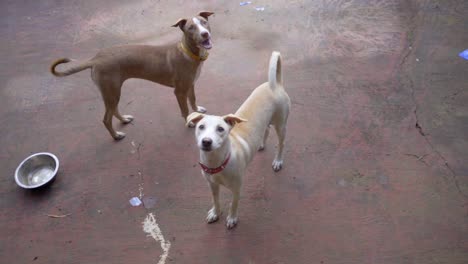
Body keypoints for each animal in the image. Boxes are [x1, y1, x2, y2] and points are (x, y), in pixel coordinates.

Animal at [50, 11, 215, 140]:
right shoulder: (179, 91)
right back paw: (116, 135)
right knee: (106, 119)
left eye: (204, 22)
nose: (205, 34)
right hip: (112, 91)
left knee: (113, 110)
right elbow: (185, 111)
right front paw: (189, 122)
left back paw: (124, 120)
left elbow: (193, 100)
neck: (188, 53)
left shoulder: (191, 84)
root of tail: (95, 58)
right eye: (191, 28)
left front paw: (197, 110)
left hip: (112, 92)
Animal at [186, 52, 288, 229]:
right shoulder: (212, 185)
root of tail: (276, 84)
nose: (206, 141)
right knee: (266, 130)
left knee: (281, 144)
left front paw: (232, 219)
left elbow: (233, 204)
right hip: (267, 122)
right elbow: (215, 200)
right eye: (201, 127)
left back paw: (278, 161)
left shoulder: (237, 188)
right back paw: (261, 144)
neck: (217, 163)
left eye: (221, 129)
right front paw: (215, 213)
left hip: (281, 125)